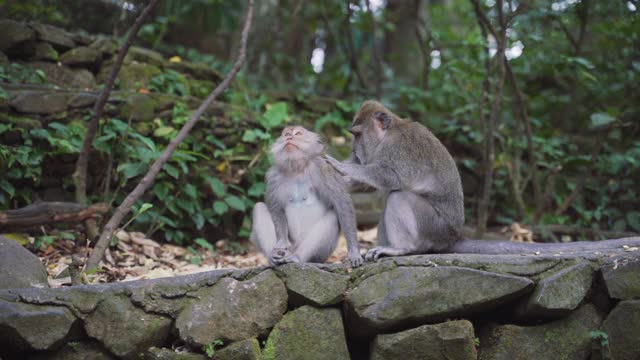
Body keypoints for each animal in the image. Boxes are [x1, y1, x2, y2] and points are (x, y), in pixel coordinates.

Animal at [250, 126, 362, 268]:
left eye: (298, 133)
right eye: (286, 134)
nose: (289, 137)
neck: (297, 168)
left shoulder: (322, 168)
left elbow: (341, 202)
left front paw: (354, 252)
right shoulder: (273, 176)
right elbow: (276, 208)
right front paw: (281, 242)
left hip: (322, 254)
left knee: (333, 216)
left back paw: (296, 258)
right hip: (291, 245)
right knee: (258, 207)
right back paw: (274, 257)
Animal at [328, 100, 640, 260]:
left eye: (357, 134)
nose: (354, 152)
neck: (389, 135)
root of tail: (454, 237)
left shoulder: (399, 149)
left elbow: (389, 176)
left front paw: (342, 167)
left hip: (435, 228)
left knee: (399, 197)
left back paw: (402, 249)